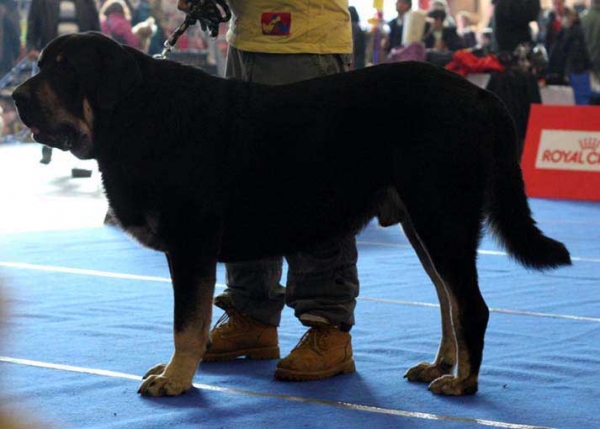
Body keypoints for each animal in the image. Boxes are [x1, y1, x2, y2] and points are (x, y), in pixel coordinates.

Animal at [11, 32, 568, 398]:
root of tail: (482, 94)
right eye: (41, 65)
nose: (14, 97)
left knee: (470, 304)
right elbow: (198, 316)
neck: (137, 116)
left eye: (65, 70)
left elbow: (185, 322)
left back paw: (462, 382)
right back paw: (440, 366)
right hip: (422, 223)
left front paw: (175, 379)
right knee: (448, 299)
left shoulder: (191, 244)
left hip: (442, 217)